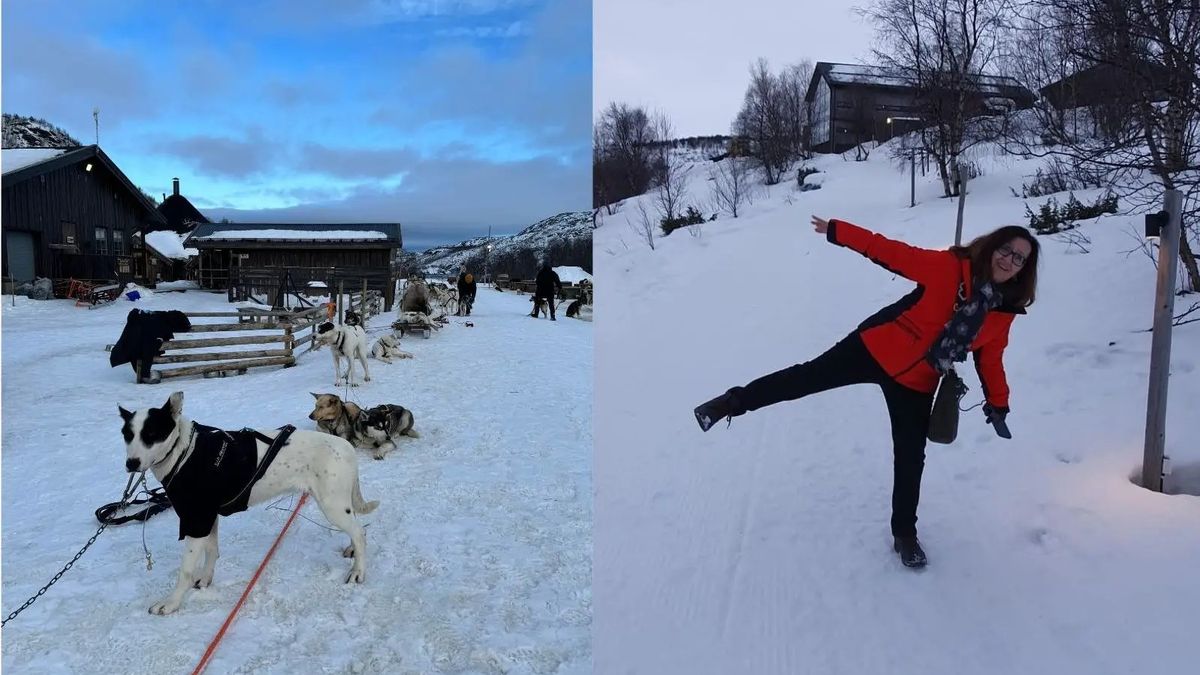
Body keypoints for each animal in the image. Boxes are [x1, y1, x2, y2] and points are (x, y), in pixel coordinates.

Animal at [117, 389, 379, 614]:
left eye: (151, 434)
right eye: (127, 435)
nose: (131, 464)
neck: (184, 452)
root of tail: (346, 446)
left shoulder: (196, 520)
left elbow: (186, 570)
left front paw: (171, 603)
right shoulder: (208, 517)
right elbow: (212, 552)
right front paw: (206, 579)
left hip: (332, 506)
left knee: (359, 533)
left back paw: (358, 571)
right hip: (339, 505)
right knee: (358, 528)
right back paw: (352, 551)